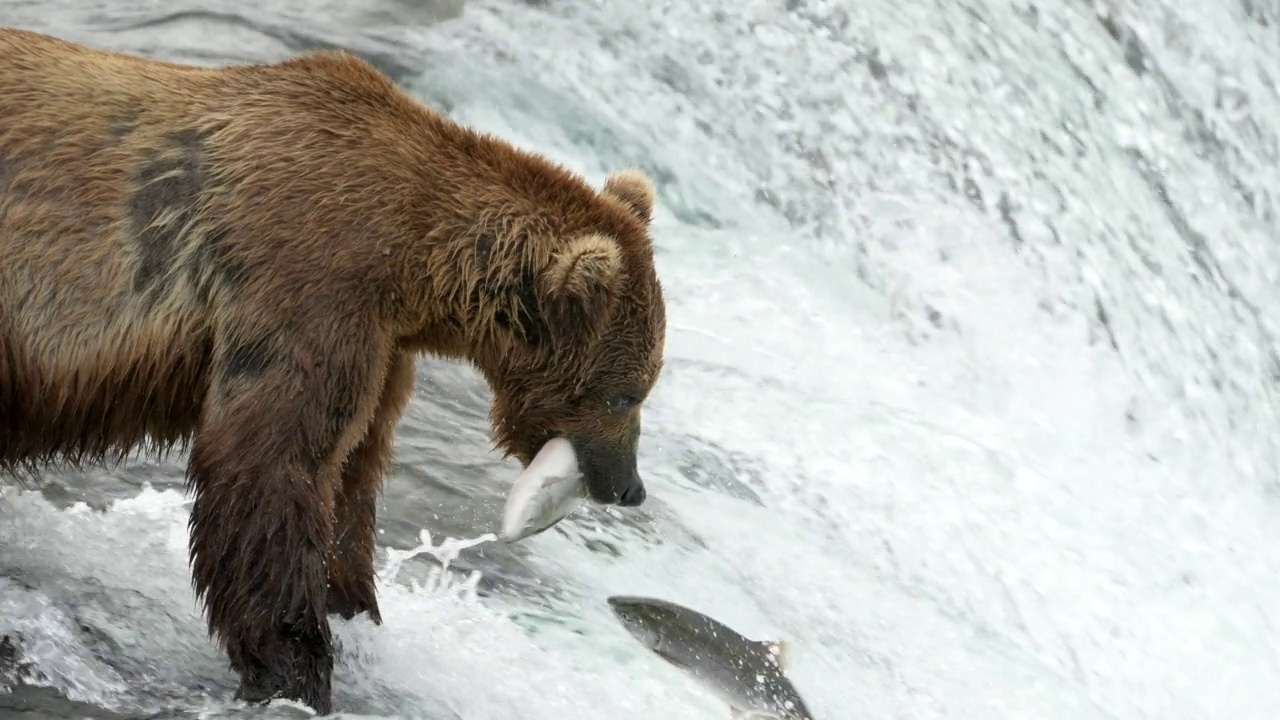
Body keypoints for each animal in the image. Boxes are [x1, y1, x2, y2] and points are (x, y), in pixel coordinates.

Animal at [2, 26, 670, 712]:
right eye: (628, 394)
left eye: (645, 385)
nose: (630, 487)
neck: (413, 256)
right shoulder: (310, 284)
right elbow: (273, 465)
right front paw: (295, 665)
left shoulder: (382, 346)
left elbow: (353, 470)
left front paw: (352, 606)